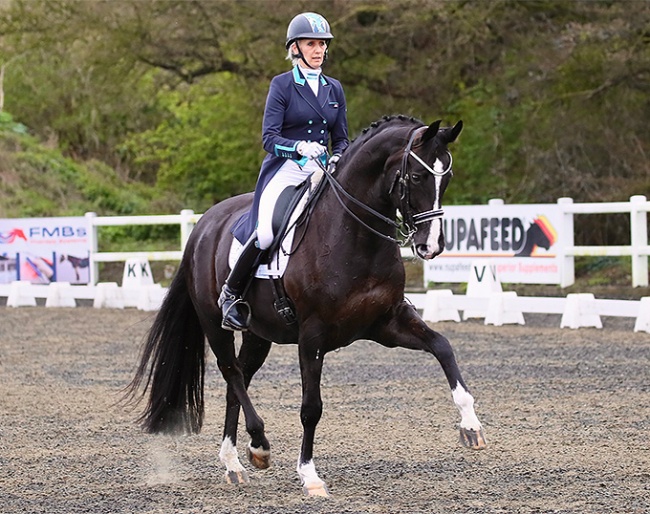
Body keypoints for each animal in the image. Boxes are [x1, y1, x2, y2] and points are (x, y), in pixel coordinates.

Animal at [126, 114, 484, 494]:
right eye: (416, 177)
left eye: (446, 178)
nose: (431, 246)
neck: (354, 236)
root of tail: (203, 225)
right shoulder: (312, 336)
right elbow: (311, 407)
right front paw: (310, 476)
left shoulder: (387, 322)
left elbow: (442, 347)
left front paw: (471, 426)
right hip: (214, 323)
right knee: (231, 372)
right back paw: (257, 446)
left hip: (258, 334)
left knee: (238, 381)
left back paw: (235, 461)